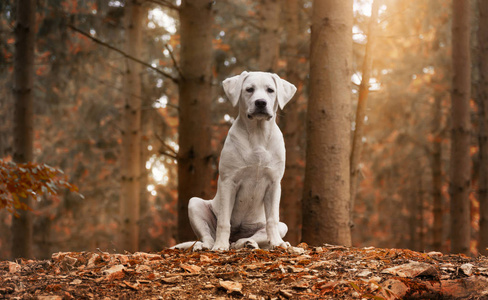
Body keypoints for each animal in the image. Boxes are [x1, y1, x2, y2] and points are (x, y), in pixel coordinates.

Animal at [175, 71, 298, 251]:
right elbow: (224, 222)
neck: (258, 135)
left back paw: (247, 243)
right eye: (249, 89)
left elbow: (272, 219)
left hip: (281, 225)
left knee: (256, 236)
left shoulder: (274, 183)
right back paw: (207, 246)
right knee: (207, 236)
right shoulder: (228, 181)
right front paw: (220, 246)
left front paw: (278, 243)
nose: (260, 102)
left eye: (270, 90)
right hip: (195, 204)